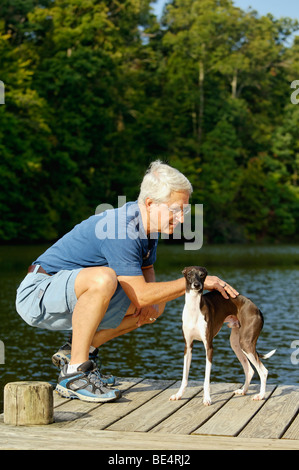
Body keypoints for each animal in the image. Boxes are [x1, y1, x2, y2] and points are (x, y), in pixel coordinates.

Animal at [171, 266, 276, 406]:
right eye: (189, 274)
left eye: (202, 274)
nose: (197, 285)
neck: (194, 308)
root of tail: (257, 309)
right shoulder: (188, 346)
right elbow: (184, 376)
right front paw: (179, 395)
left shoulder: (209, 347)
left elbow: (207, 379)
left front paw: (207, 398)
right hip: (236, 344)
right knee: (249, 370)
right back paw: (243, 391)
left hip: (246, 343)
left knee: (263, 371)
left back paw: (261, 395)